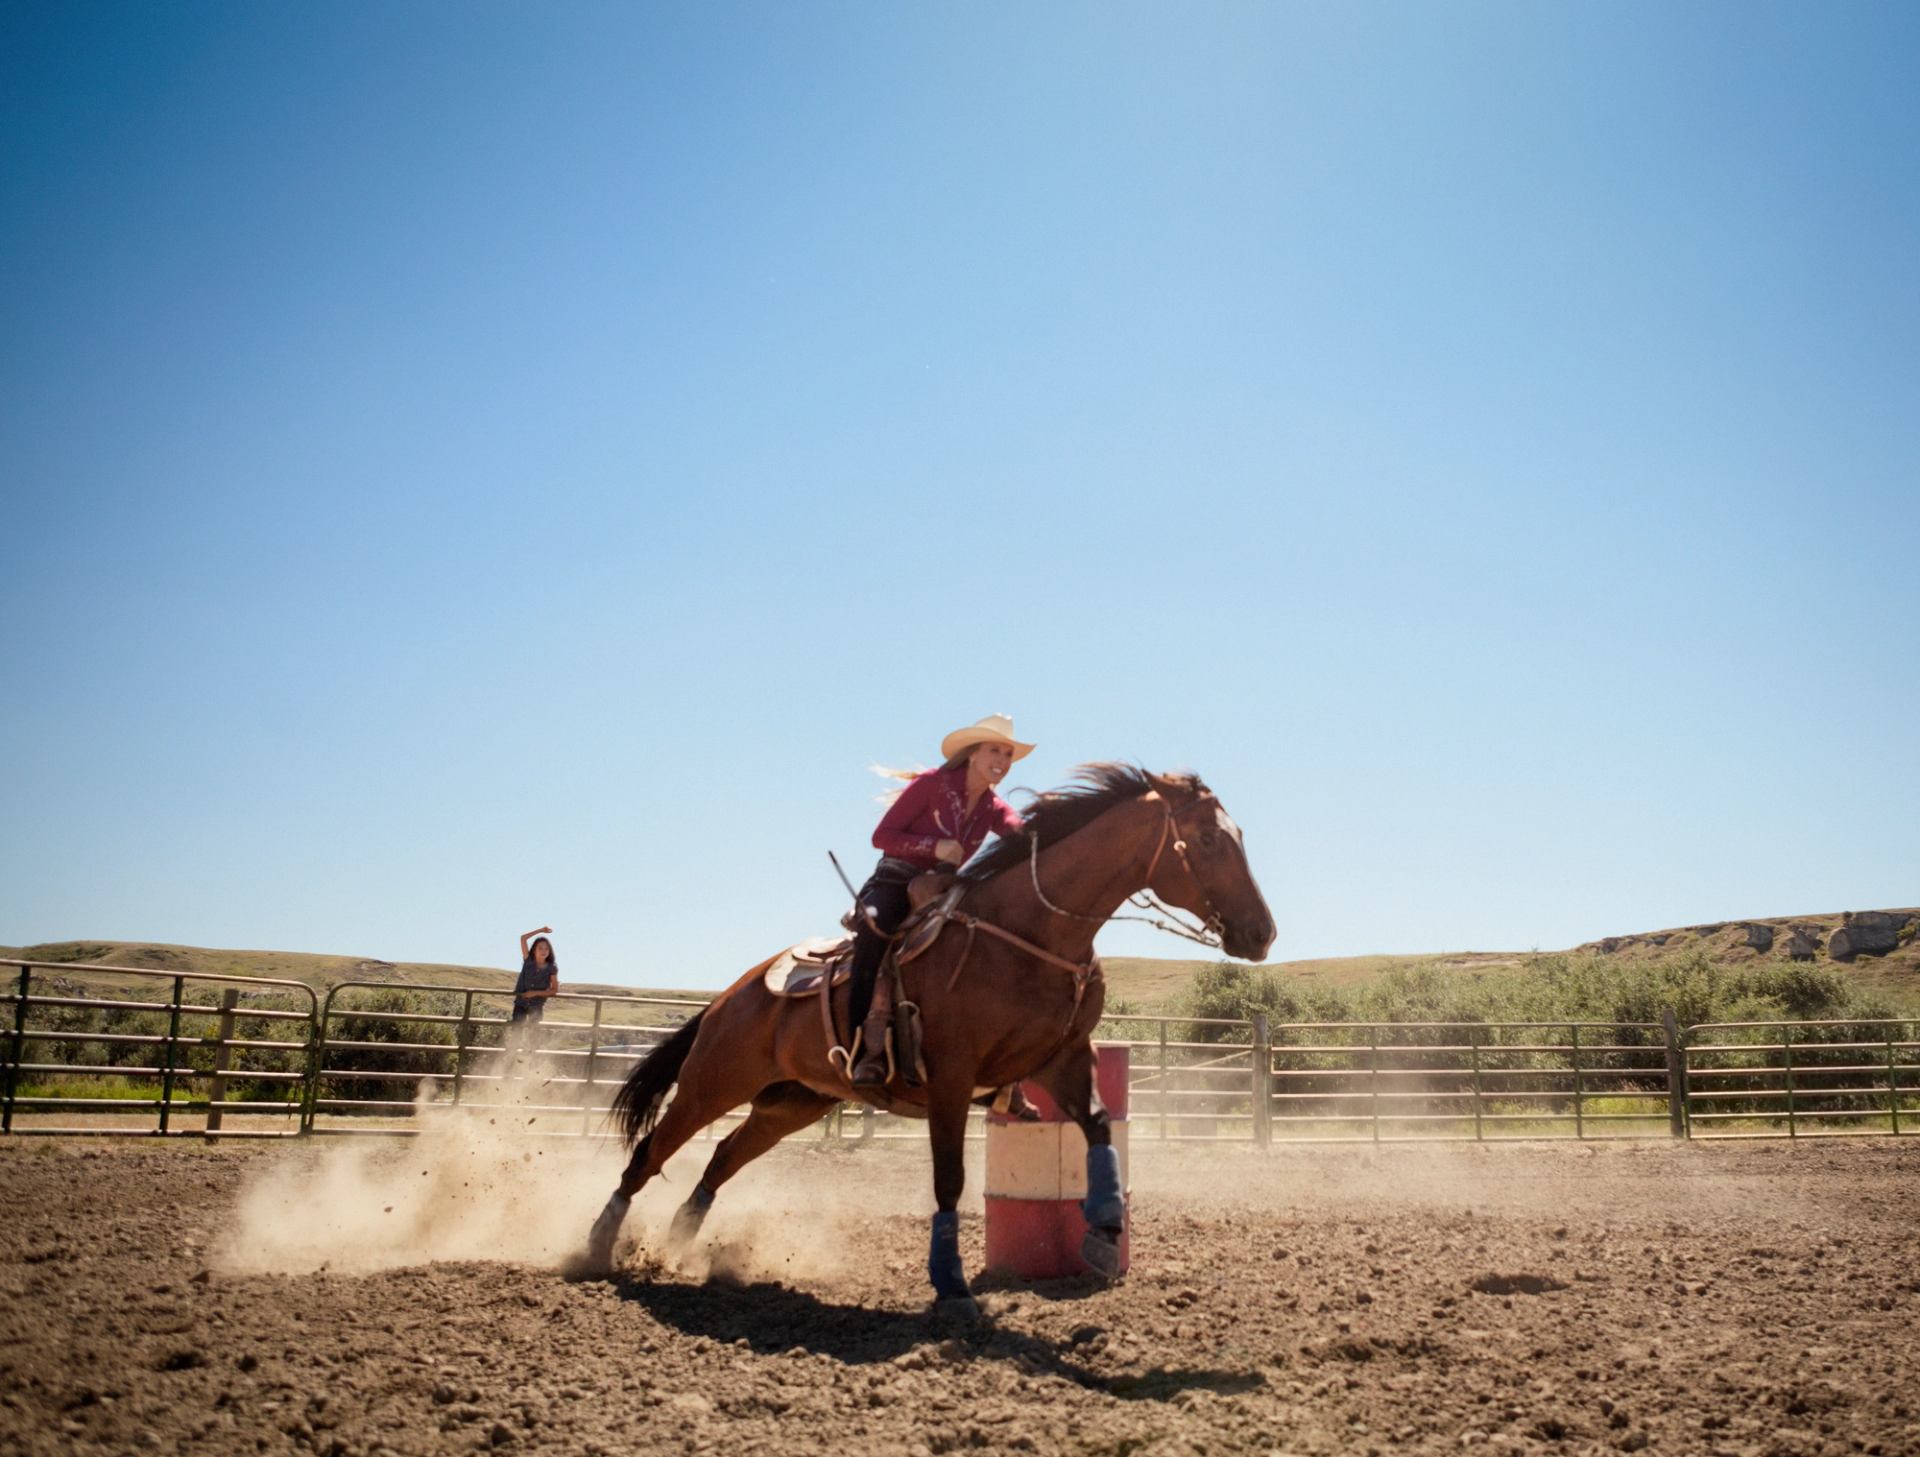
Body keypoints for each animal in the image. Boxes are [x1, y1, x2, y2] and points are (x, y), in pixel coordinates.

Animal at [580, 764, 1275, 1313]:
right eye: (1207, 839)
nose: (1262, 933)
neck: (1031, 932)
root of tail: (734, 991)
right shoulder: (950, 1078)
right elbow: (949, 1179)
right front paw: (952, 1286)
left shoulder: (1063, 1059)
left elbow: (1101, 1128)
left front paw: (1104, 1237)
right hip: (713, 1081)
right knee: (649, 1153)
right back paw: (596, 1247)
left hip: (793, 1101)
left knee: (723, 1155)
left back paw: (677, 1242)